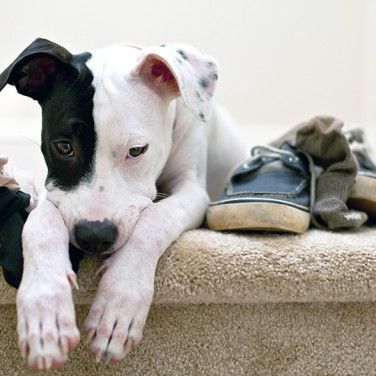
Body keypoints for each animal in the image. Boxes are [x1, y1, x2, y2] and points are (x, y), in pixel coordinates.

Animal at [0, 39, 247, 370]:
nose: (94, 236)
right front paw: (45, 308)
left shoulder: (192, 191)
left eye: (137, 150)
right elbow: (40, 226)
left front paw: (118, 305)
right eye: (63, 146)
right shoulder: (55, 190)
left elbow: (155, 219)